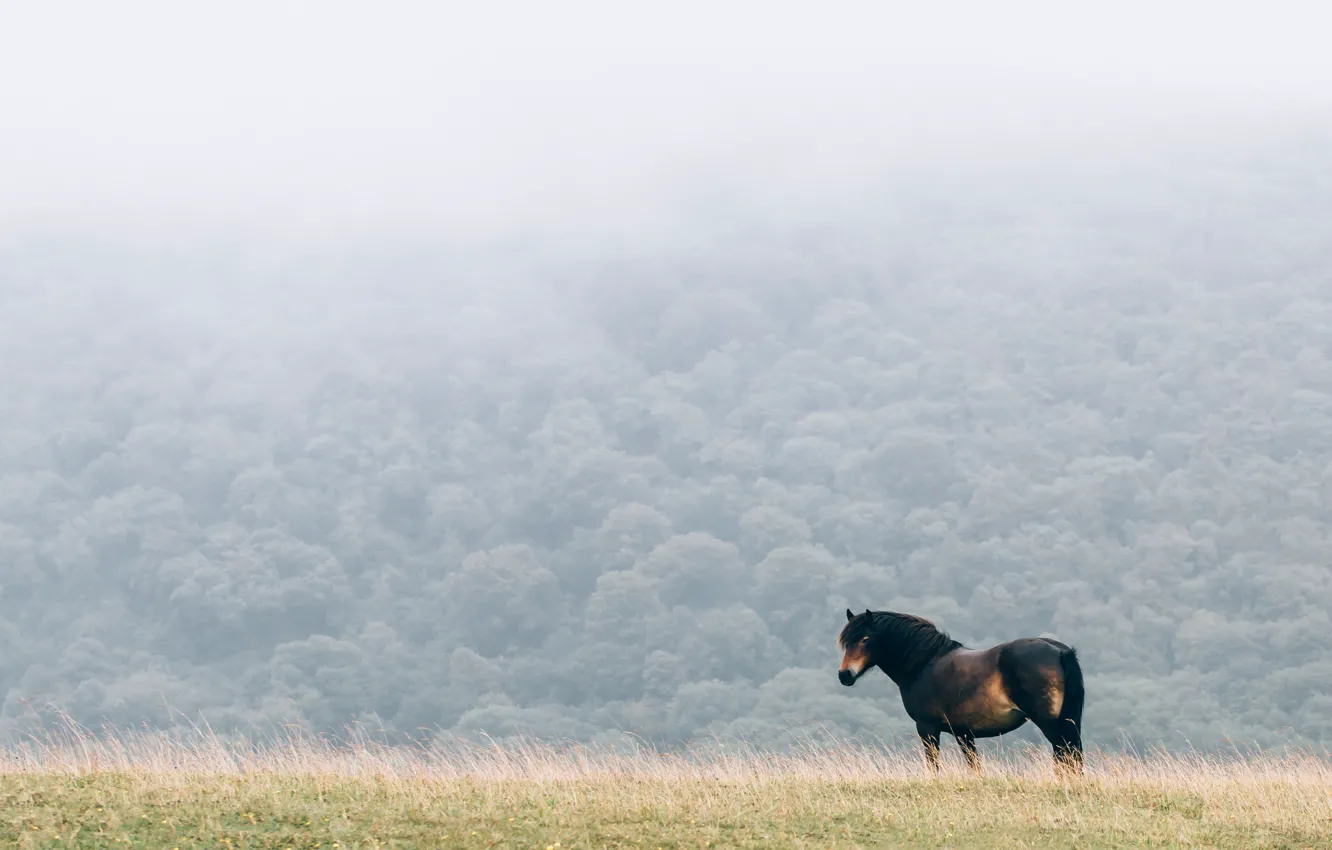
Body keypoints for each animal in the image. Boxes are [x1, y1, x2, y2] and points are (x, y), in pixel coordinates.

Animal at [836, 607, 1086, 778]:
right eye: (846, 642)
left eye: (865, 639)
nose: (844, 675)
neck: (924, 663)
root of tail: (1059, 651)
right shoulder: (964, 733)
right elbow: (974, 766)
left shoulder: (927, 728)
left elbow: (933, 765)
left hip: (1051, 725)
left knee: (1065, 755)